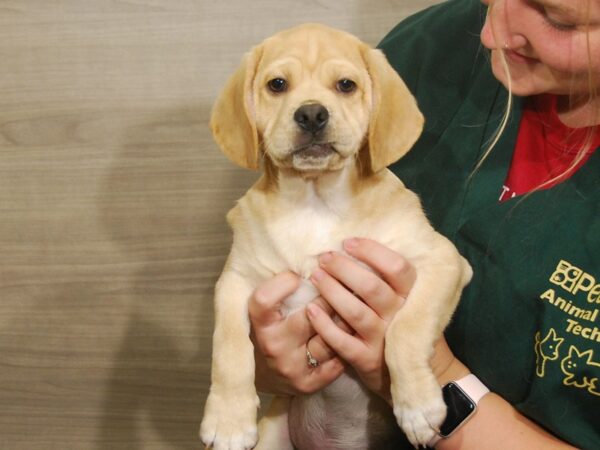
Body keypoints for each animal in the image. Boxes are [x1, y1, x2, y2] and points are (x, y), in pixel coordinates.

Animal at [202, 23, 474, 450]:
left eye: (346, 85)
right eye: (277, 84)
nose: (312, 113)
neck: (315, 203)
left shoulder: (444, 260)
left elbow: (407, 328)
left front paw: (417, 405)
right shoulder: (235, 281)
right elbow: (228, 346)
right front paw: (229, 420)